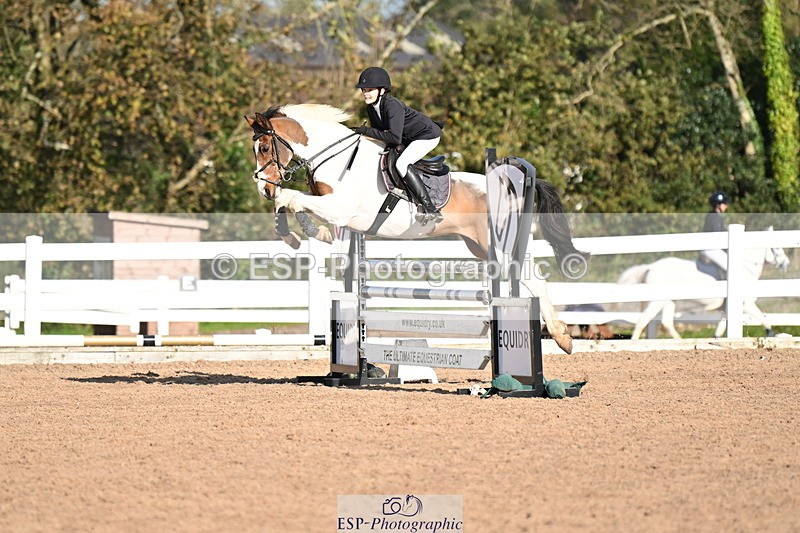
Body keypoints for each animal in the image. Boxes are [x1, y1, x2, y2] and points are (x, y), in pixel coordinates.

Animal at [245, 104, 586, 354]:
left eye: (265, 147)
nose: (263, 188)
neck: (336, 159)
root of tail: (510, 184)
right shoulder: (332, 213)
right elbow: (298, 209)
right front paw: (298, 234)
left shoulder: (340, 208)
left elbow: (291, 198)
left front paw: (290, 228)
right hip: (480, 246)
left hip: (499, 246)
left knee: (532, 277)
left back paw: (562, 337)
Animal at [617, 232, 790, 339]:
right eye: (776, 247)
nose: (786, 264)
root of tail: (650, 267)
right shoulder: (745, 304)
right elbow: (762, 316)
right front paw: (770, 334)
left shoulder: (728, 308)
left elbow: (721, 325)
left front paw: (716, 338)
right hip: (657, 301)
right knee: (644, 319)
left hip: (669, 302)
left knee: (666, 322)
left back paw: (679, 341)